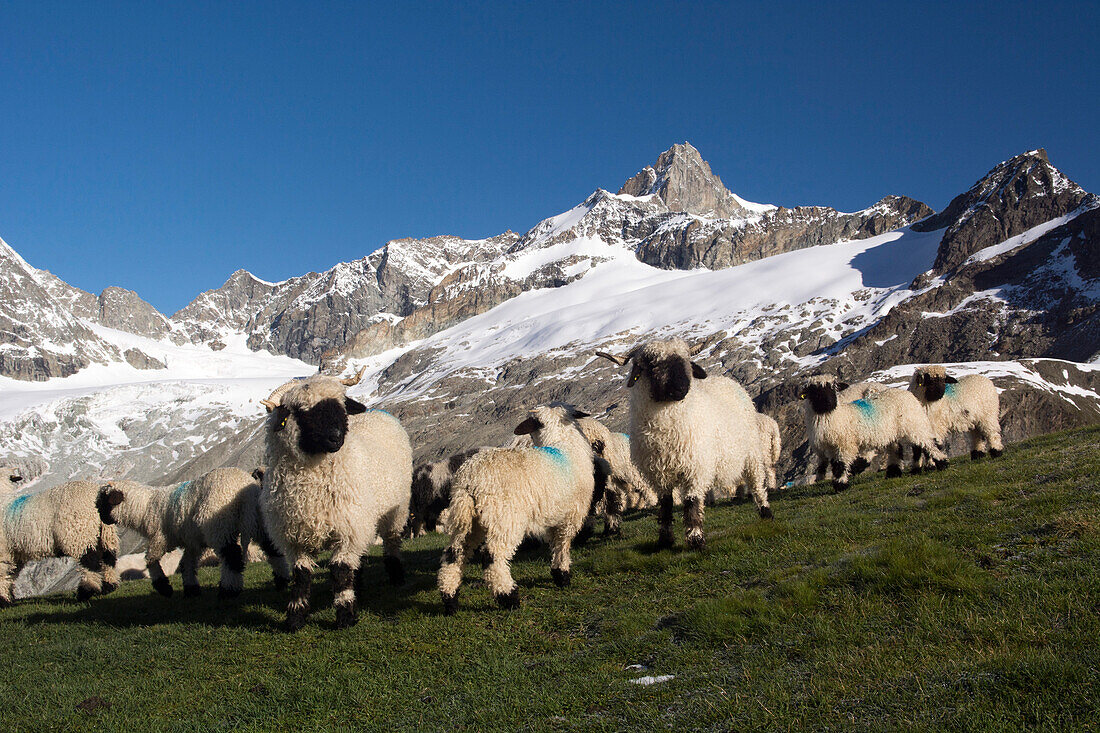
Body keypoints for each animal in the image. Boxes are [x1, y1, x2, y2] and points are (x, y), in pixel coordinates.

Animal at [101, 464, 290, 598]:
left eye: (104, 500)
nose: (102, 519)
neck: (147, 507)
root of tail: (247, 487)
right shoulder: (192, 542)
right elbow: (187, 564)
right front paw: (191, 589)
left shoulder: (161, 538)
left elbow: (151, 560)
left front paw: (164, 587)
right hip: (258, 522)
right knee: (272, 549)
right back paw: (282, 581)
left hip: (220, 526)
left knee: (232, 557)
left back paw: (228, 591)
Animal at [257, 367, 413, 629]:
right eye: (302, 412)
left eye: (340, 407)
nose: (336, 437)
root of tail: (377, 414)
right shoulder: (295, 537)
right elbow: (301, 576)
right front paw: (295, 617)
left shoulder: (347, 530)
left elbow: (340, 572)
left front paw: (345, 615)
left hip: (396, 511)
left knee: (391, 542)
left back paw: (397, 577)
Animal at [435, 402, 598, 611]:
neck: (563, 444)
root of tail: (469, 479)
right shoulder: (570, 517)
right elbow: (563, 545)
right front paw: (562, 575)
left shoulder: (554, 518)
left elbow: (555, 544)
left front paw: (558, 574)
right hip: (505, 519)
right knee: (492, 557)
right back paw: (509, 597)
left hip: (467, 519)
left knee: (454, 554)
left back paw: (450, 600)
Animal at [598, 336, 770, 548]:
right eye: (653, 364)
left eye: (685, 361)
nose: (681, 388)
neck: (666, 432)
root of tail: (725, 380)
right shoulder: (659, 475)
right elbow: (666, 505)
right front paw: (665, 539)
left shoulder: (694, 469)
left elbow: (691, 502)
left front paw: (696, 539)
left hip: (751, 452)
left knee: (757, 483)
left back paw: (765, 512)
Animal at [796, 374, 950, 488]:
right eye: (813, 390)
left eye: (833, 388)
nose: (829, 402)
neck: (836, 416)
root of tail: (906, 393)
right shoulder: (830, 448)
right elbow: (835, 465)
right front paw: (838, 483)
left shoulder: (845, 444)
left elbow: (840, 465)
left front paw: (840, 485)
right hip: (892, 432)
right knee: (897, 449)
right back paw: (894, 472)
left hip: (914, 424)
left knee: (928, 443)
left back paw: (942, 463)